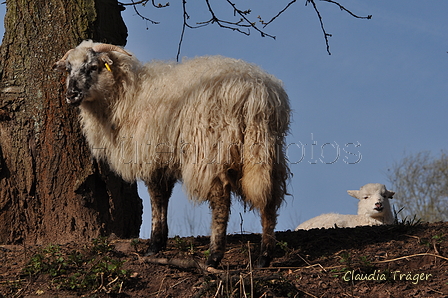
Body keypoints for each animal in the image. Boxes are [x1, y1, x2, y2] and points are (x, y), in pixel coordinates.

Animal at [53, 40, 290, 268]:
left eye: (93, 67)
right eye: (68, 69)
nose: (71, 95)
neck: (127, 95)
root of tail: (255, 93)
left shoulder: (151, 155)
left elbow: (156, 198)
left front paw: (153, 246)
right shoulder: (164, 160)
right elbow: (163, 197)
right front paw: (160, 242)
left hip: (210, 150)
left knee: (221, 201)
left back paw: (214, 257)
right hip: (264, 151)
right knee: (269, 199)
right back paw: (264, 257)